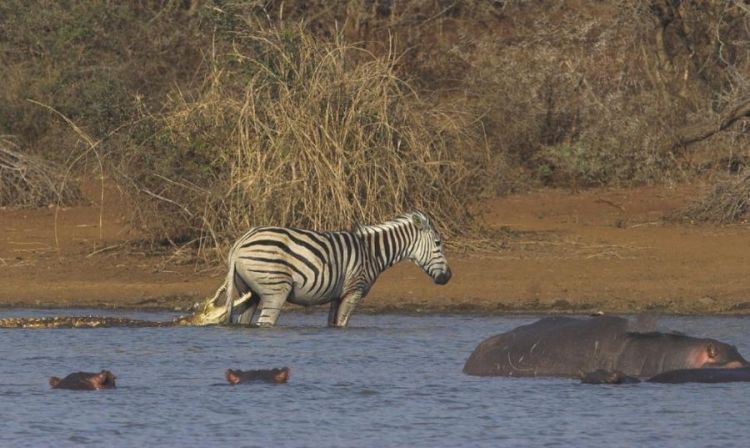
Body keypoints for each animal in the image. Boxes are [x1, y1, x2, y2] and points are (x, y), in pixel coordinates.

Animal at [207, 212, 452, 328]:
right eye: (438, 243)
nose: (448, 278)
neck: (371, 253)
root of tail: (241, 242)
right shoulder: (354, 290)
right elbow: (343, 323)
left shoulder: (337, 294)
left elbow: (332, 324)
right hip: (276, 289)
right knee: (265, 322)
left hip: (248, 292)